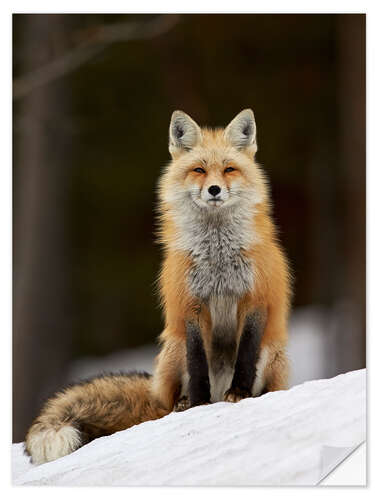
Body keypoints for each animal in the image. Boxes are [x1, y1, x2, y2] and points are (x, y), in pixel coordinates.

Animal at [25, 109, 292, 464]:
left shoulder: (255, 299)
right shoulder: (189, 306)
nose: (215, 190)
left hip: (273, 353)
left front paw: (241, 393)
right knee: (172, 397)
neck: (217, 255)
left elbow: (246, 354)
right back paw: (184, 404)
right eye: (199, 170)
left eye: (229, 169)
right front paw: (199, 404)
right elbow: (197, 363)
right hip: (172, 350)